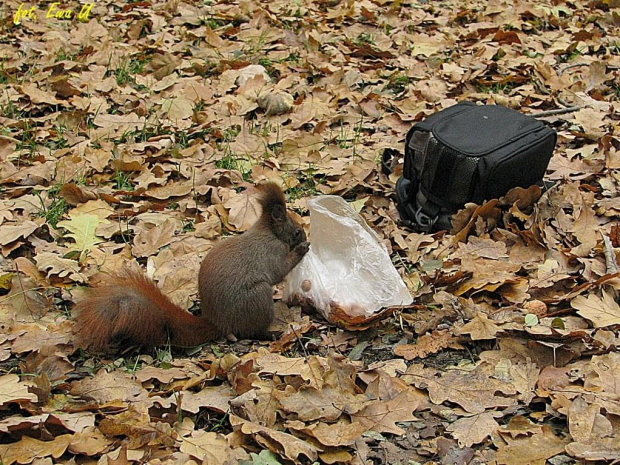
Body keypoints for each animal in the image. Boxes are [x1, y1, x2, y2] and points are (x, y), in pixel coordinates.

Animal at [74, 182, 310, 352]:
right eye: (297, 231)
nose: (305, 237)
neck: (270, 232)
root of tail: (218, 323)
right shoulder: (272, 251)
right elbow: (280, 269)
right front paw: (302, 249)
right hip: (257, 298)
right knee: (251, 331)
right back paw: (269, 334)